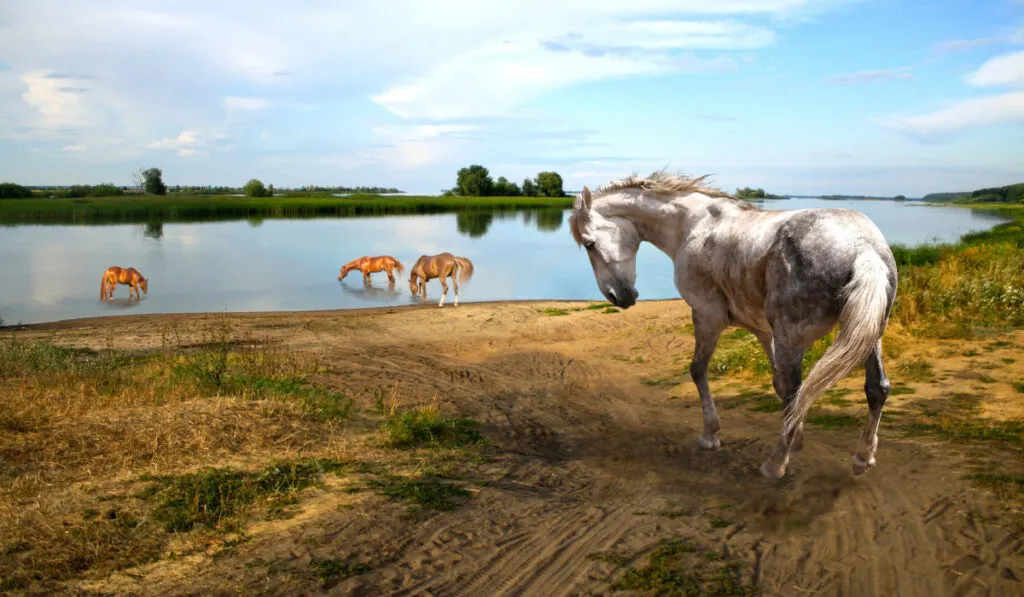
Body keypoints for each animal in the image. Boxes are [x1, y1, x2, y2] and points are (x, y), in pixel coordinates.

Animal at [569, 170, 897, 479]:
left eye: (589, 244)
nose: (619, 296)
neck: (691, 224)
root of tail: (863, 250)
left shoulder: (706, 316)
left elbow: (698, 370)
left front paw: (710, 435)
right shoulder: (762, 329)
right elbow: (777, 383)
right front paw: (797, 439)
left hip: (793, 340)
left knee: (798, 392)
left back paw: (775, 465)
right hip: (869, 337)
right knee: (875, 389)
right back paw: (862, 458)